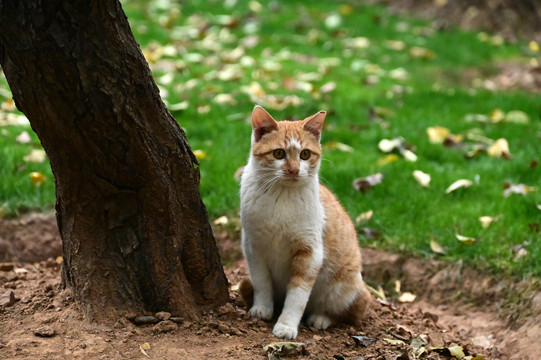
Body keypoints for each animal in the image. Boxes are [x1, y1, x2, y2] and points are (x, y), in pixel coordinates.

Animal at [238, 105, 370, 338]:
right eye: (279, 153)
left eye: (305, 154)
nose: (293, 169)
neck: (281, 197)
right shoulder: (253, 247)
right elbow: (262, 283)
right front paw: (262, 308)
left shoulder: (309, 253)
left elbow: (297, 296)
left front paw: (286, 326)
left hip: (344, 287)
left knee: (351, 312)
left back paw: (321, 318)